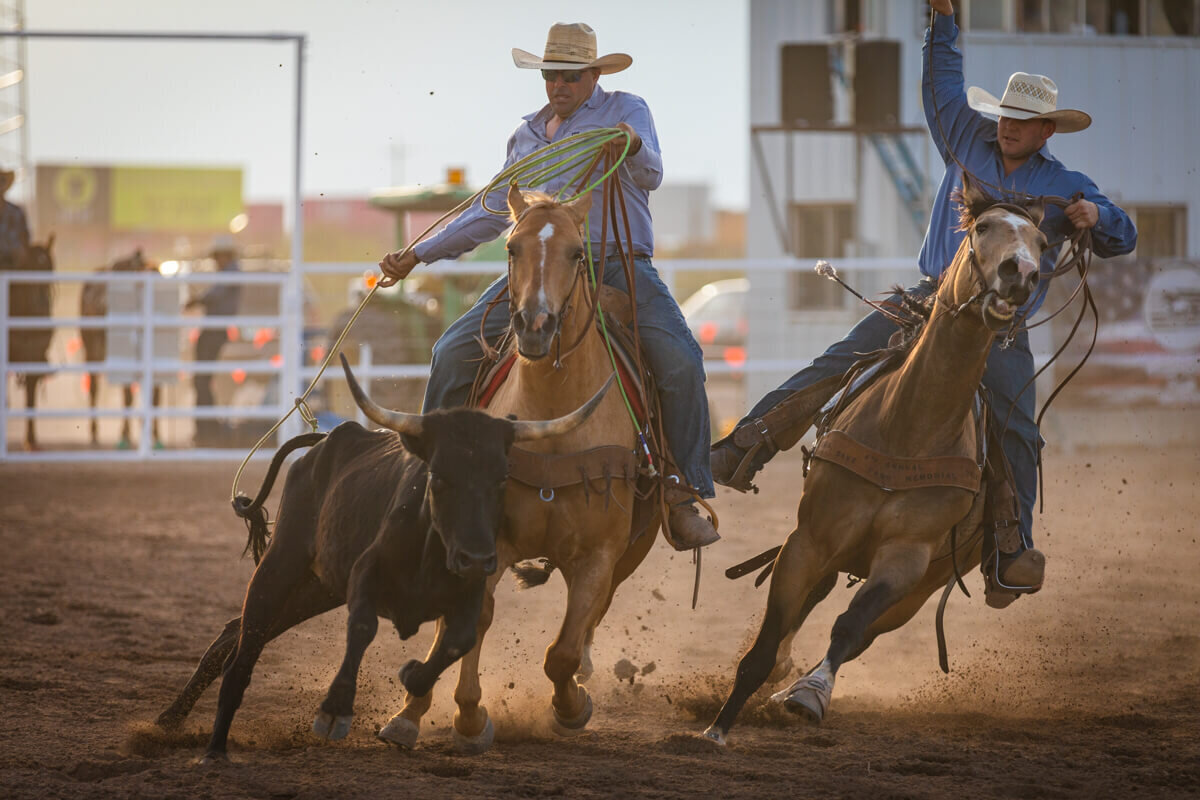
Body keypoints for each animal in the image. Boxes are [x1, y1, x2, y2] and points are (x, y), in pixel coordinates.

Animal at [79, 248, 163, 448]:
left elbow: (155, 396)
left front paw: (156, 436)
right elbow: (129, 397)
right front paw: (125, 436)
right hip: (91, 349)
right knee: (94, 387)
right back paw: (95, 433)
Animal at [379, 184, 662, 753]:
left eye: (577, 253)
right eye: (512, 248)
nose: (534, 326)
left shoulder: (601, 554)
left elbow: (563, 651)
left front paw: (571, 706)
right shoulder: (483, 544)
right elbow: (469, 623)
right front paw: (460, 714)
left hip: (635, 547)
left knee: (592, 620)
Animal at [700, 181, 1051, 743]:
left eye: (1042, 242)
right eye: (982, 227)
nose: (1021, 274)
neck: (907, 426)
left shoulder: (906, 560)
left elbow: (849, 626)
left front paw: (808, 695)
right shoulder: (809, 539)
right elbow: (771, 633)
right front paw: (718, 728)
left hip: (919, 590)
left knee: (860, 630)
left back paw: (795, 686)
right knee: (808, 603)